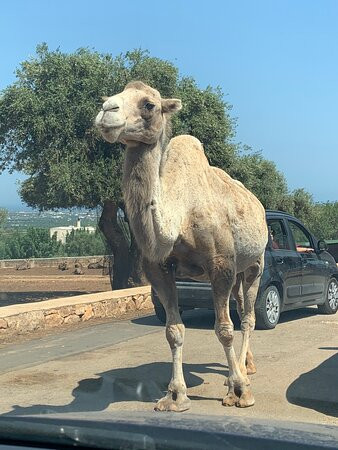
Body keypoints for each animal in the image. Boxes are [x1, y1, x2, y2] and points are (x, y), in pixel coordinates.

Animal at [95, 81, 270, 412]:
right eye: (106, 97)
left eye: (149, 104)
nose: (106, 112)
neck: (180, 215)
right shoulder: (158, 267)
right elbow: (173, 331)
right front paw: (175, 396)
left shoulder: (221, 264)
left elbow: (224, 329)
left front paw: (240, 392)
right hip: (239, 271)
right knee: (240, 306)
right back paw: (245, 367)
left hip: (256, 262)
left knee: (248, 317)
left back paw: (240, 376)